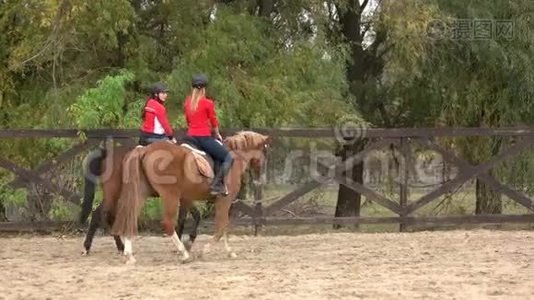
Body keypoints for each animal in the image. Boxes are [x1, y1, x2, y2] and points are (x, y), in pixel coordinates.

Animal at [113, 130, 272, 264]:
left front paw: (229, 252)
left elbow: (220, 225)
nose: (261, 180)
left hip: (141, 193)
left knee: (131, 217)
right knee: (168, 224)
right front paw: (205, 250)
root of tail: (145, 149)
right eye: (264, 151)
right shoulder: (224, 201)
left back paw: (129, 255)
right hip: (170, 196)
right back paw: (184, 254)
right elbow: (221, 227)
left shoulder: (191, 199)